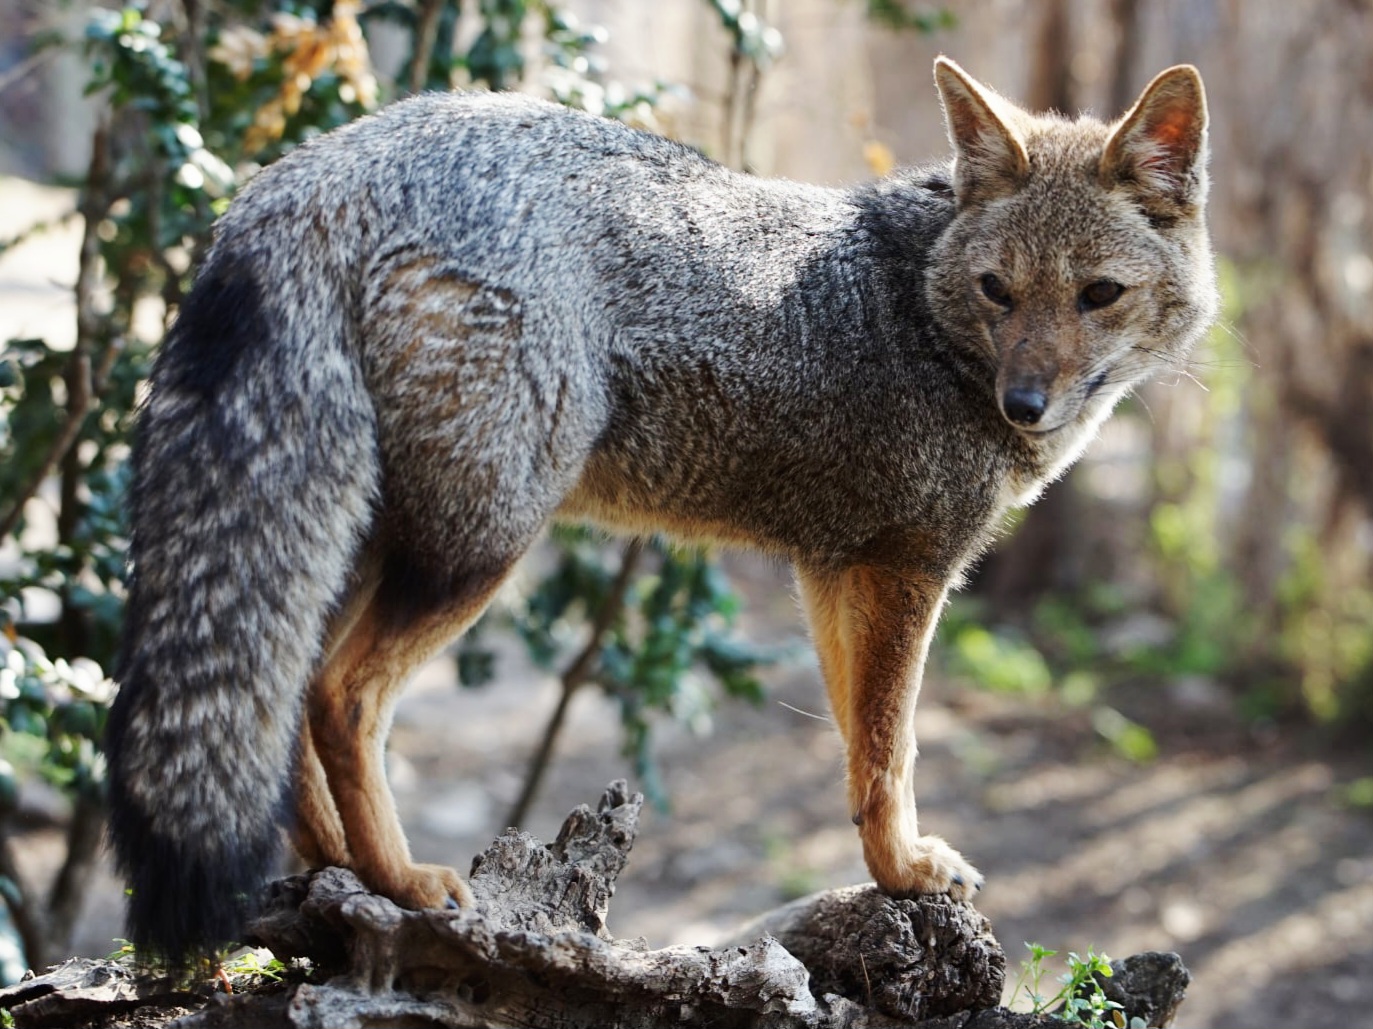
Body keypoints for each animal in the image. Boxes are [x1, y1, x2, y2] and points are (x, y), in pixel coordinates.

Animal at [105, 56, 1216, 964]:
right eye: (998, 290)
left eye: (1097, 295)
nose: (1022, 403)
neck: (918, 306)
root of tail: (319, 164)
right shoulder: (909, 566)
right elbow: (891, 750)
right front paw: (904, 874)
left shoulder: (833, 568)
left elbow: (856, 749)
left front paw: (882, 865)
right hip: (484, 543)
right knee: (340, 694)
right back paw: (397, 881)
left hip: (376, 541)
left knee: (288, 698)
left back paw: (329, 870)